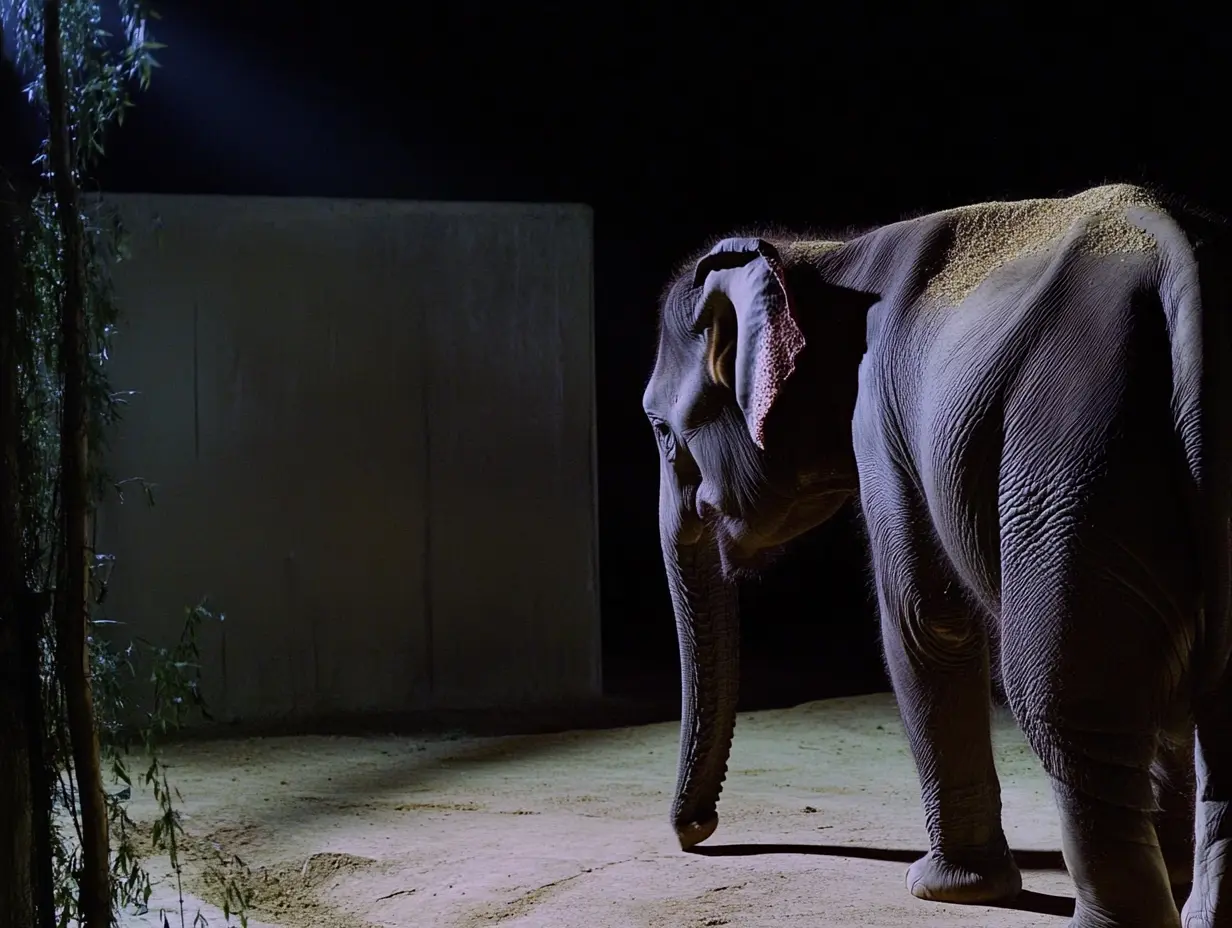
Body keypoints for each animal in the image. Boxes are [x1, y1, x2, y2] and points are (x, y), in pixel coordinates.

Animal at [641, 184, 1232, 927]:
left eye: (661, 430)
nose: (697, 833)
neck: (826, 256)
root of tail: (1193, 275)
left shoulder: (882, 421)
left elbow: (926, 622)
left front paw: (942, 890)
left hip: (1077, 462)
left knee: (1062, 700)